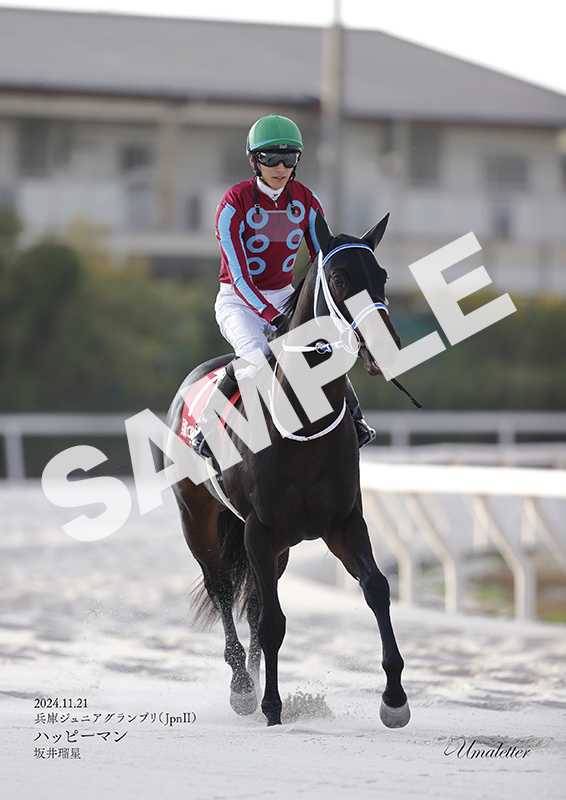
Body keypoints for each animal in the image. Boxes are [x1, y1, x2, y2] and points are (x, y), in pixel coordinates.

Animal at [166, 211, 410, 728]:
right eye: (339, 278)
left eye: (381, 275)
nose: (384, 345)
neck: (306, 426)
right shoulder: (260, 529)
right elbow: (272, 622)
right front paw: (272, 707)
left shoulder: (343, 523)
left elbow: (377, 589)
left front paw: (395, 698)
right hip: (198, 523)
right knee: (222, 590)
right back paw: (243, 688)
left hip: (276, 549)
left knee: (257, 600)